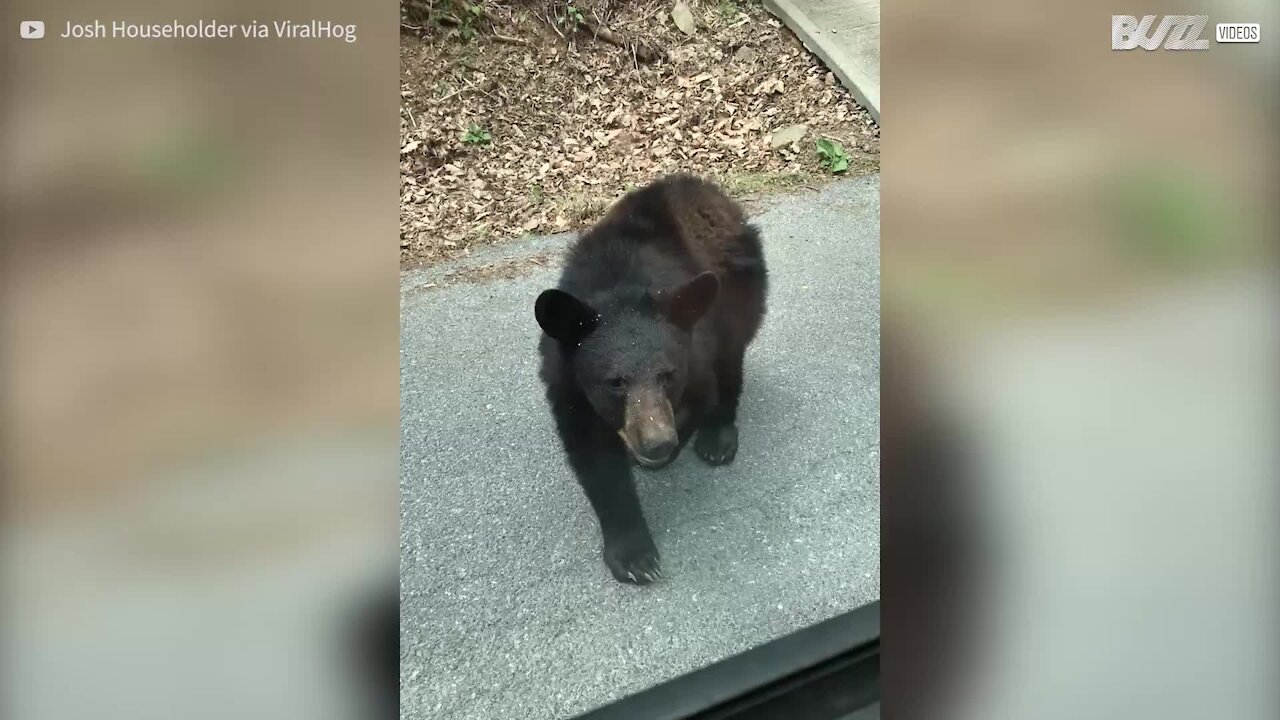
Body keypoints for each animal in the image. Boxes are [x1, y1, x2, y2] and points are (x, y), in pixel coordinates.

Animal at [535, 175, 762, 584]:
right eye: (615, 382)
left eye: (668, 375)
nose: (657, 443)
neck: (618, 289)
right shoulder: (567, 383)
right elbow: (594, 457)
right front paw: (635, 557)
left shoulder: (696, 352)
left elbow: (701, 396)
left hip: (735, 298)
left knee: (731, 362)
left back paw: (718, 437)